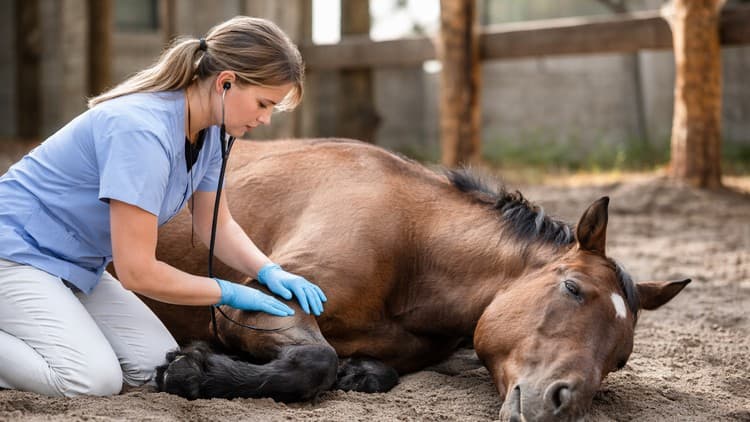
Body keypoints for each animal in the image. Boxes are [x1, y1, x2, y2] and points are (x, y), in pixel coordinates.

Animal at [149, 138, 689, 421]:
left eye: (620, 359)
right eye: (572, 289)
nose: (563, 404)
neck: (416, 240)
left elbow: (361, 370)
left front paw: (360, 372)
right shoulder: (257, 300)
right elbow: (314, 361)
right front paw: (191, 371)